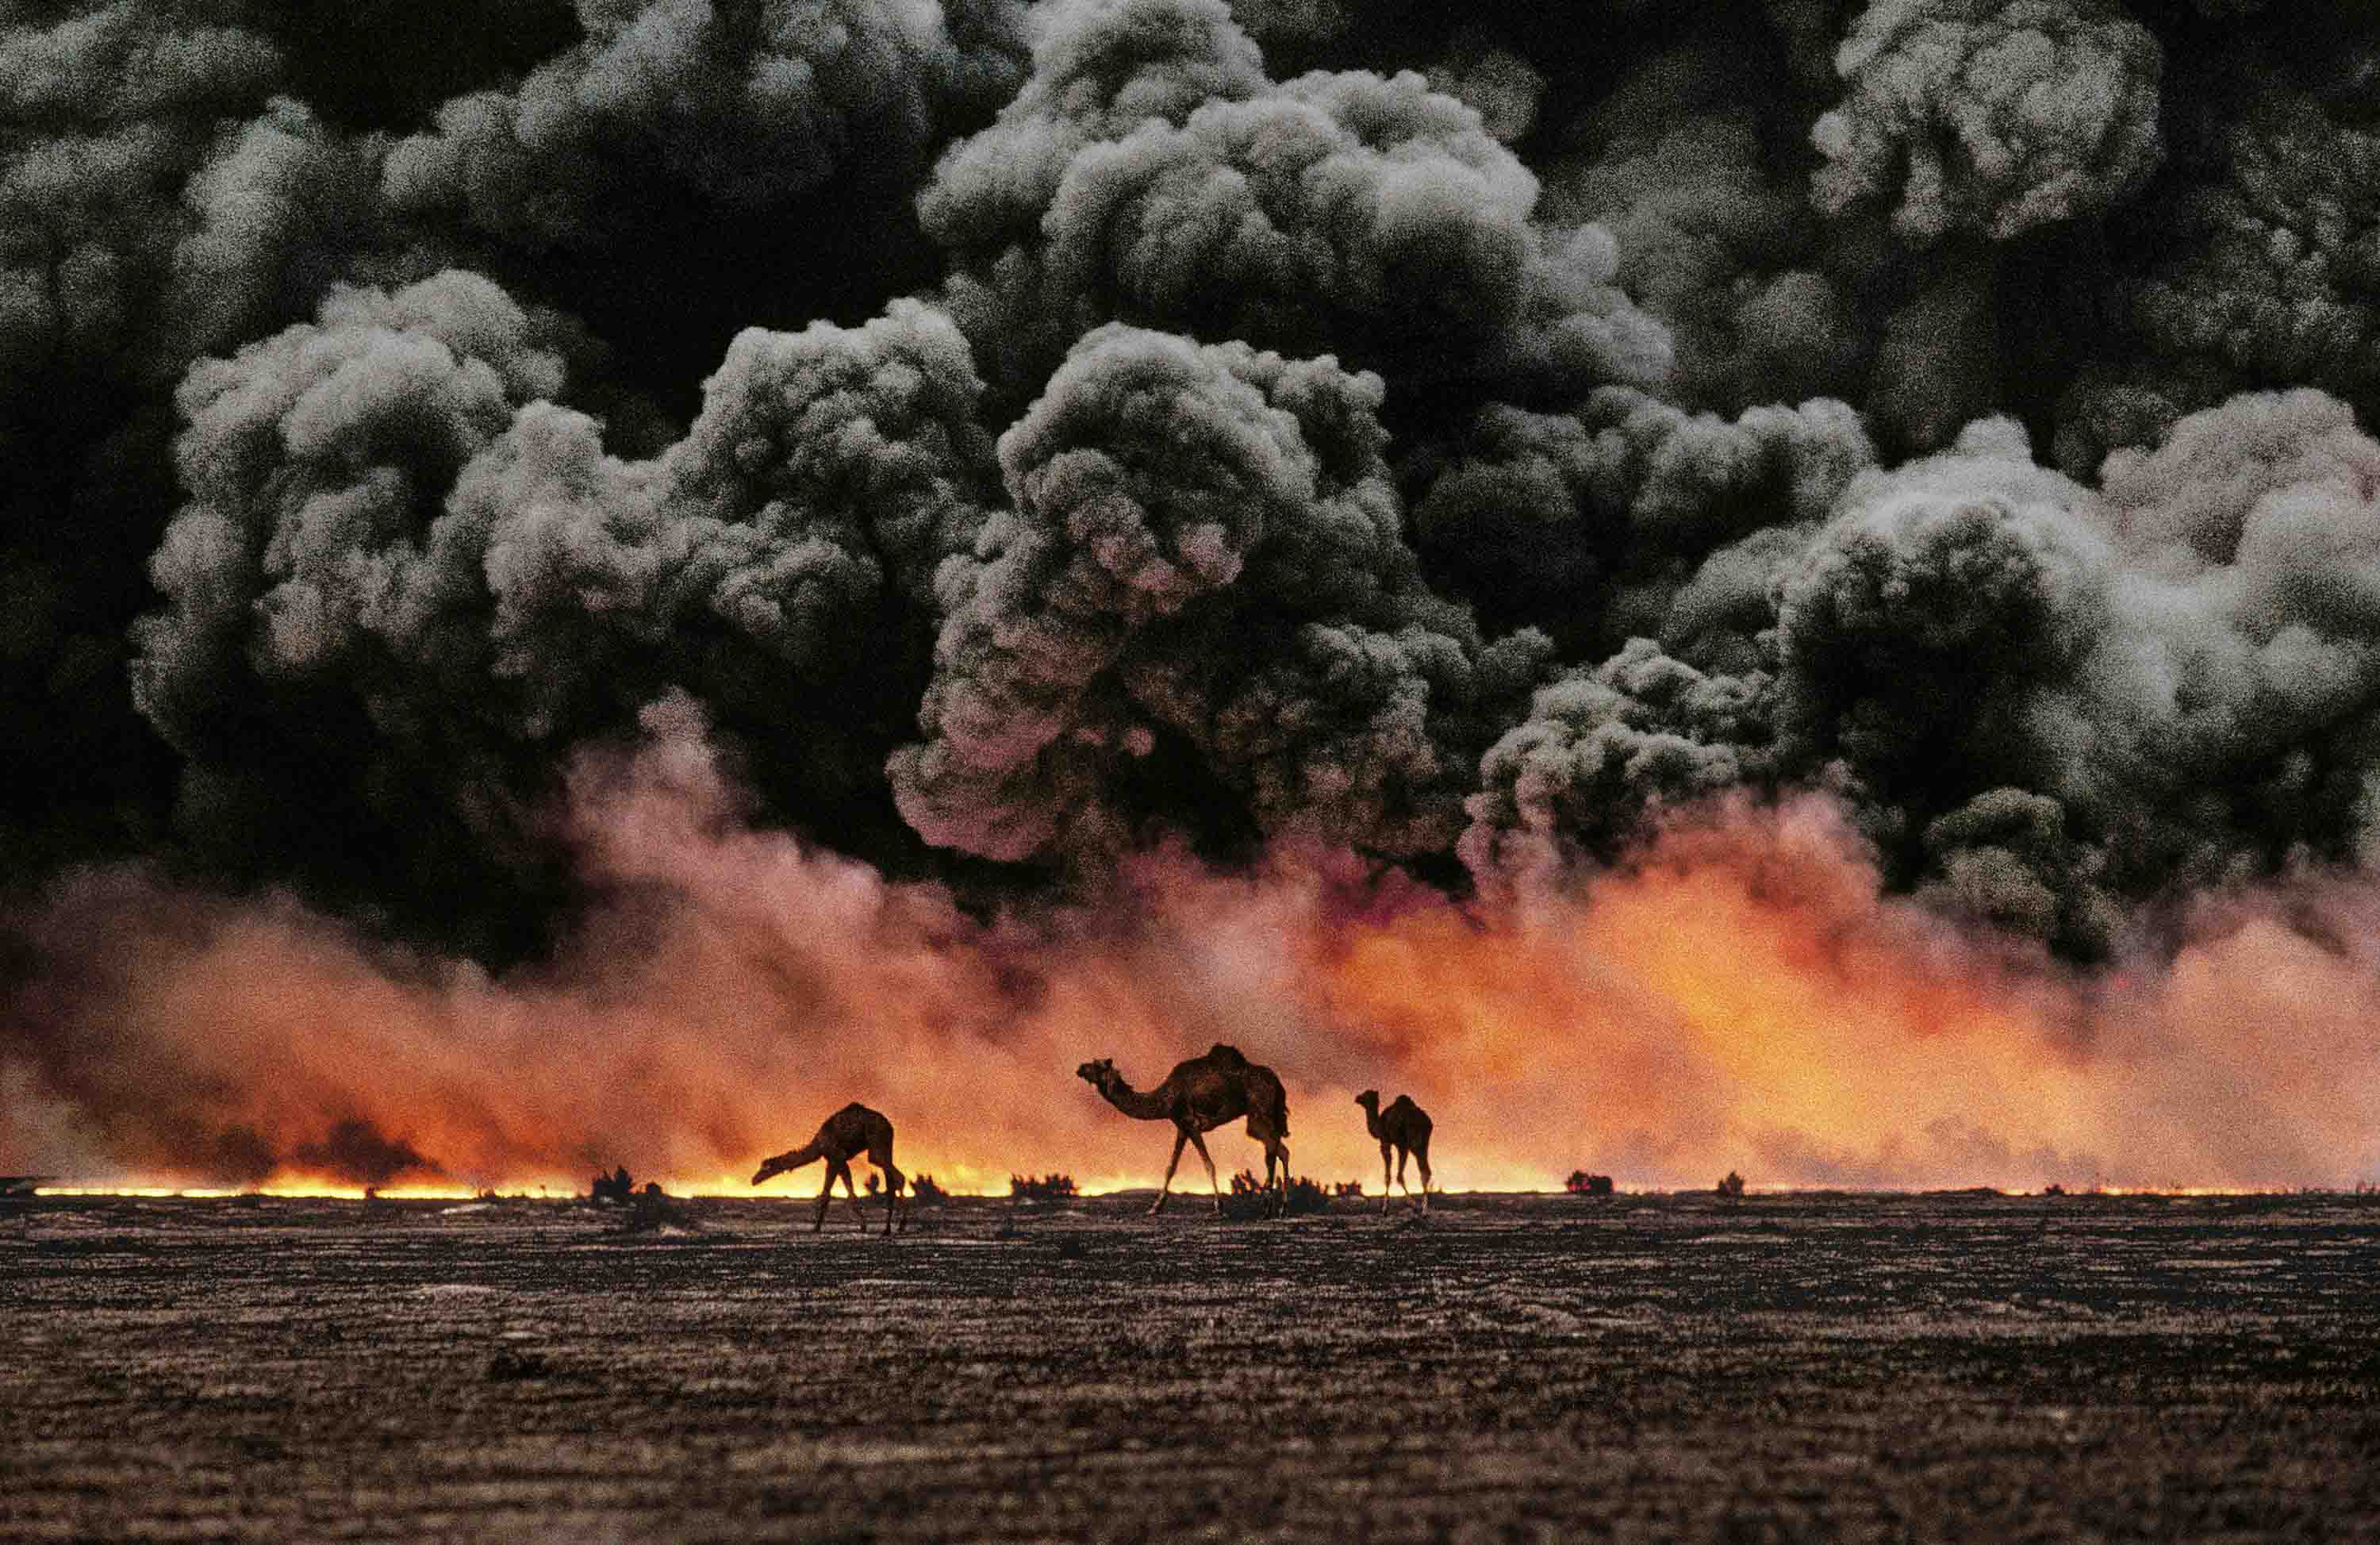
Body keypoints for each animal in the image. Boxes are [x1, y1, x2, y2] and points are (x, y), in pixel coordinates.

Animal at [747, 1105, 904, 1238]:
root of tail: (889, 1125)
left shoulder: (837, 1156)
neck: (818, 1146)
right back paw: (890, 1229)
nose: (753, 1180)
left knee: (897, 1177)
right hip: (885, 1145)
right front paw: (817, 1228)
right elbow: (827, 1194)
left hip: (876, 1143)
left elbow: (843, 1194)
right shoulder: (832, 1160)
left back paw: (899, 1226)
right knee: (892, 1181)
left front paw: (862, 1226)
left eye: (764, 1167)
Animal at [1081, 1043, 1295, 1209]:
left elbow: (1209, 1165)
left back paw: (1270, 1205)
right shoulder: (1181, 1127)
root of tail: (1277, 1082)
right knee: (1280, 1150)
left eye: (1097, 1065)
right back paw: (1279, 1207)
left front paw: (1219, 1206)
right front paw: (1155, 1207)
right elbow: (1171, 1167)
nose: (1080, 1068)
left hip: (1261, 1112)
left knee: (1272, 1152)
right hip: (1261, 1117)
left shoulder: (1191, 1124)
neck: (1165, 1099)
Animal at [1361, 1090, 1428, 1209]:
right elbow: (1398, 1175)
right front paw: (1413, 1204)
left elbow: (1389, 1176)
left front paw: (1385, 1207)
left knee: (1417, 1172)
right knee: (1426, 1171)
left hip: (1412, 1143)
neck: (1378, 1125)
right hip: (1424, 1143)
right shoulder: (1401, 1145)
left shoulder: (1386, 1142)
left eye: (1365, 1095)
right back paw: (1424, 1209)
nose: (1357, 1098)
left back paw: (1420, 1207)